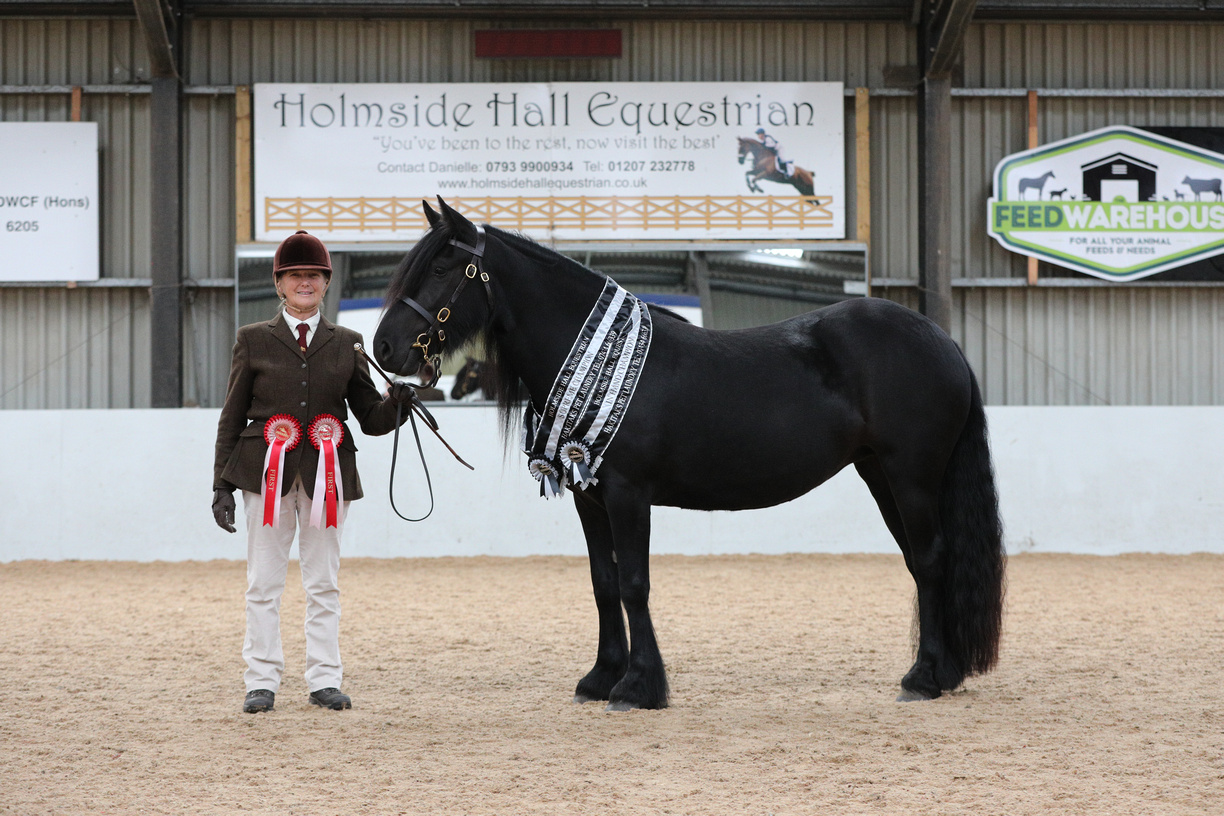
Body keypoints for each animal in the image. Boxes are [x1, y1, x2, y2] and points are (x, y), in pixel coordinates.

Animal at [374, 198, 1003, 709]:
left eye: (440, 269)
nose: (384, 347)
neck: (596, 357)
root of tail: (944, 342)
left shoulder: (628, 494)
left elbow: (634, 584)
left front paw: (637, 687)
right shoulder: (588, 497)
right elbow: (604, 583)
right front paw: (599, 678)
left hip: (911, 475)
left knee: (931, 559)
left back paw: (923, 679)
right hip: (880, 473)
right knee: (921, 562)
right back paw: (941, 672)